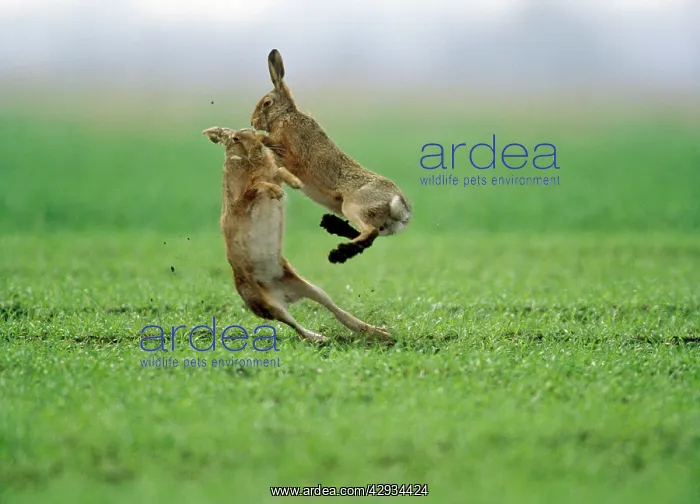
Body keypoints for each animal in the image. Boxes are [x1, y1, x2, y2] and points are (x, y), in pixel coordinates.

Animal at [203, 126, 392, 344]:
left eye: (252, 131)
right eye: (235, 138)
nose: (258, 147)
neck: (249, 161)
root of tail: (284, 294)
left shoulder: (272, 174)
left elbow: (277, 172)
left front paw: (295, 183)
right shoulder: (238, 203)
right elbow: (257, 186)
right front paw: (276, 192)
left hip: (306, 285)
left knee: (333, 309)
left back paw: (380, 333)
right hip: (266, 304)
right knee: (295, 326)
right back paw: (321, 338)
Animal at [250, 49, 412, 265]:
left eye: (267, 103)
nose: (252, 122)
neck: (285, 115)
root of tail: (399, 204)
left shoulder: (292, 153)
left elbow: (277, 148)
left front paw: (256, 137)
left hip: (353, 206)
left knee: (369, 233)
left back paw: (338, 252)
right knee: (369, 237)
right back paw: (334, 229)